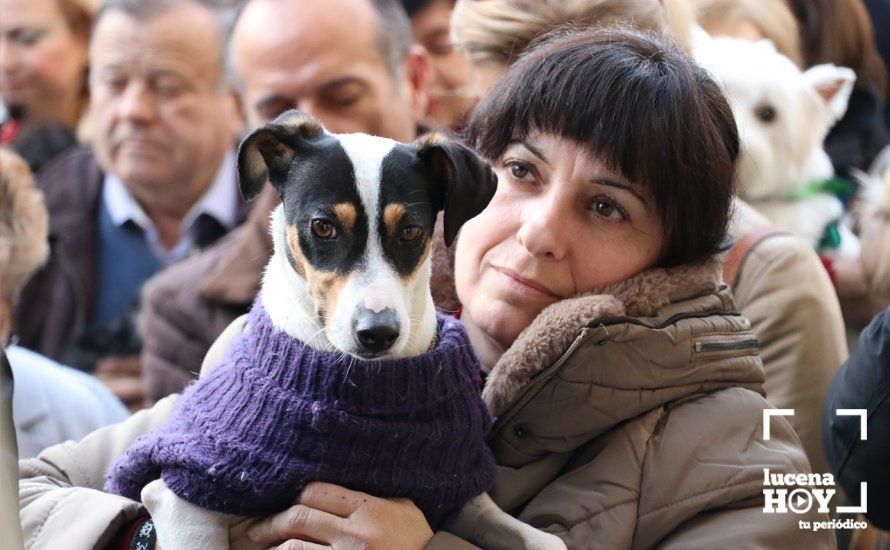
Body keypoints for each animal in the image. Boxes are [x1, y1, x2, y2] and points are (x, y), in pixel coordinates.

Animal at [104, 110, 560, 548]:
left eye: (411, 230)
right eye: (323, 226)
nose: (378, 333)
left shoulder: (457, 496)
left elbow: (546, 540)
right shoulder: (182, 491)